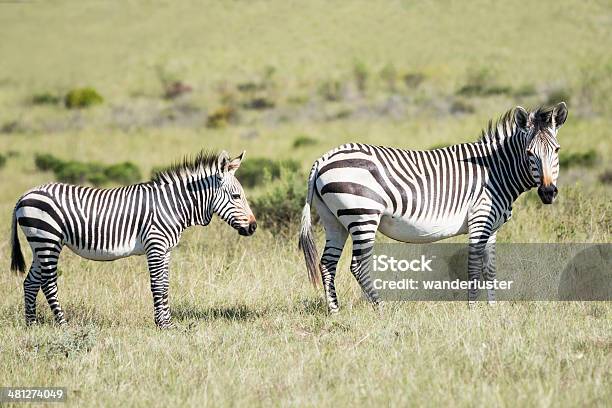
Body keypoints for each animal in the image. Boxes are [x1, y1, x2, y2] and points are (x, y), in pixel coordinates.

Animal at [11, 151, 256, 328]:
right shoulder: (155, 245)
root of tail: (24, 195)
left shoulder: (166, 250)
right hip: (48, 240)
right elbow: (157, 285)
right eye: (236, 196)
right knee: (48, 282)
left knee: (31, 282)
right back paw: (63, 324)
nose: (253, 227)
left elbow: (165, 284)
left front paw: (168, 323)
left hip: (39, 243)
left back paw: (31, 325)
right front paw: (162, 325)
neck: (173, 205)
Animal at [300, 103, 568, 312]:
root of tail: (322, 159)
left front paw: (493, 310)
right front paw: (473, 311)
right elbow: (473, 266)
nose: (547, 193)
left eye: (556, 150)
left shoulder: (492, 227)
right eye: (529, 152)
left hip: (333, 220)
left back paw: (335, 312)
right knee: (359, 265)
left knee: (327, 263)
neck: (496, 171)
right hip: (363, 215)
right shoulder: (480, 218)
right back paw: (381, 309)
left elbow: (490, 268)